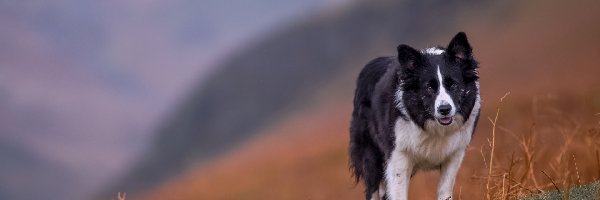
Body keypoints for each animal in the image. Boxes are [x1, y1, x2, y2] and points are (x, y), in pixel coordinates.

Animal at [350, 32, 480, 199]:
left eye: (453, 84)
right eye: (429, 87)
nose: (444, 109)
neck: (434, 126)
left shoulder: (454, 155)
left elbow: (445, 191)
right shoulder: (398, 156)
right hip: (371, 157)